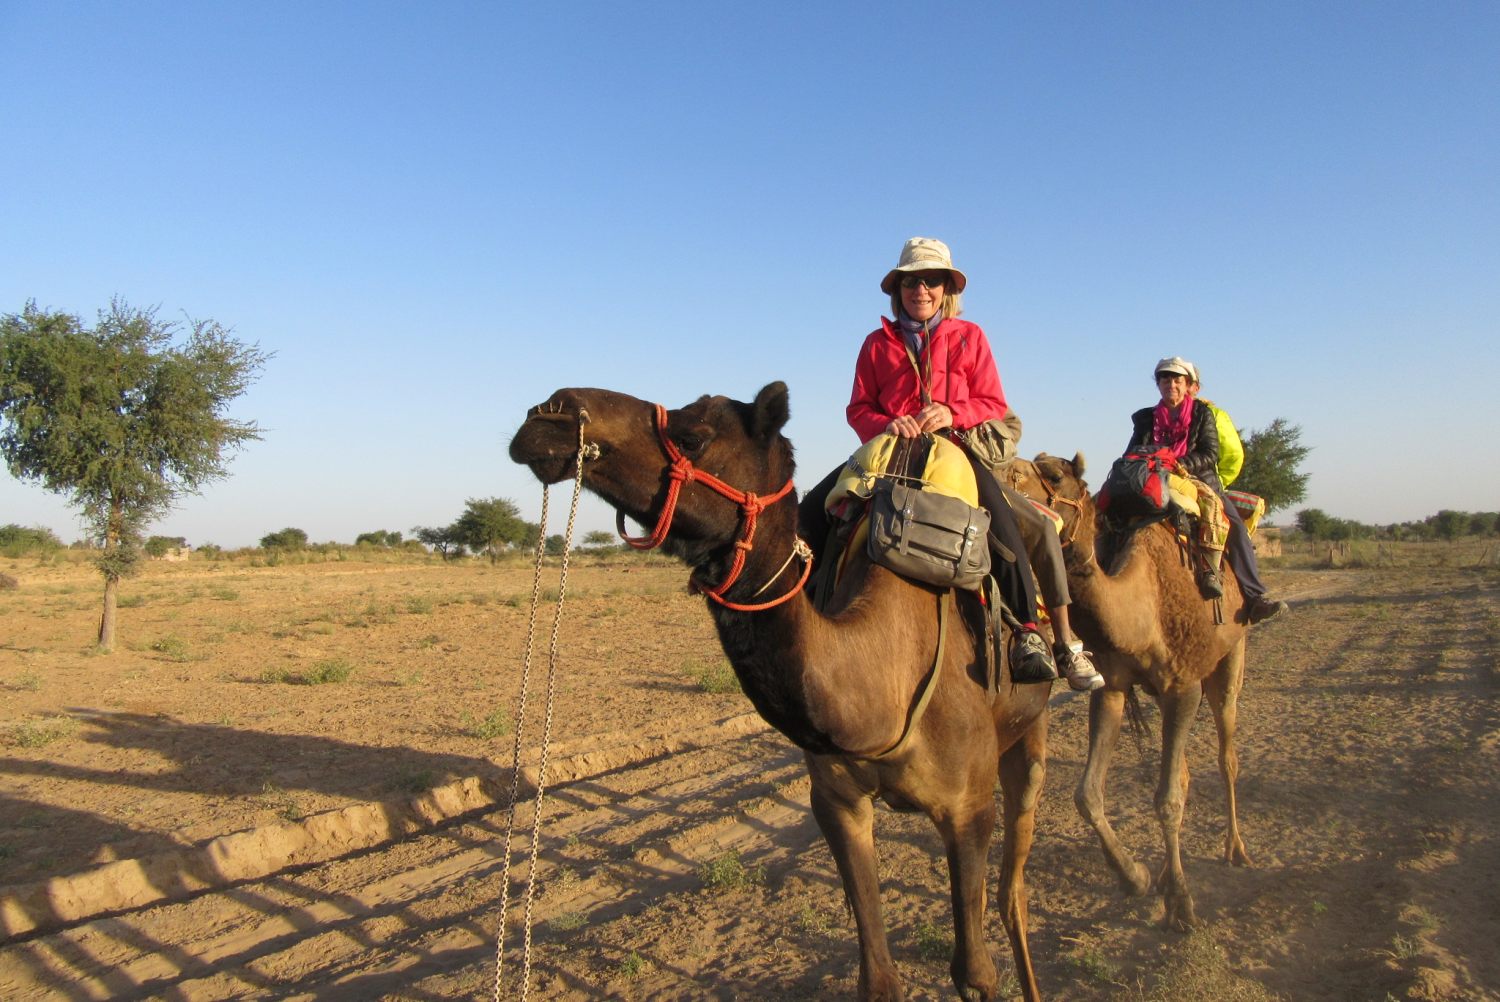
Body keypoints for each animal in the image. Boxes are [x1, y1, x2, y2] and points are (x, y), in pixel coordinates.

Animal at [516, 379, 1056, 996]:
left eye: (693, 435)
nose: (549, 414)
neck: (883, 689)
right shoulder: (837, 802)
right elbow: (878, 976)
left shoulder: (968, 807)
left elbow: (975, 973)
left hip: (1029, 734)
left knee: (1015, 889)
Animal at [1008, 453, 1254, 930]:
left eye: (1054, 475)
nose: (1007, 471)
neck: (1142, 607)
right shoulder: (1114, 687)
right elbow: (1088, 795)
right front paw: (1136, 877)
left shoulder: (1184, 687)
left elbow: (1168, 799)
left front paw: (1181, 905)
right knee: (1185, 770)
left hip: (1232, 651)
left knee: (1227, 753)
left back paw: (1236, 849)